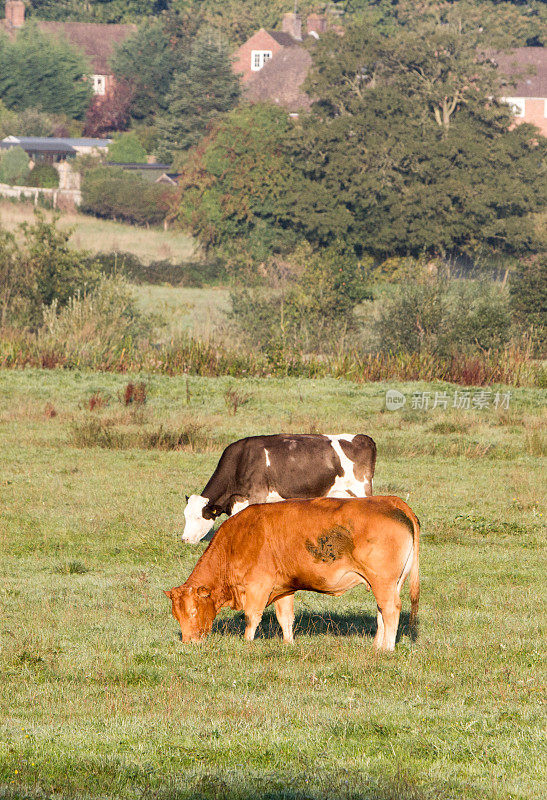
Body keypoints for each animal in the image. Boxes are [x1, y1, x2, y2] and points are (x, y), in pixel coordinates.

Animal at [165, 494, 422, 648]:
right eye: (176, 615)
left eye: (193, 611)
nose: (188, 642)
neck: (237, 539)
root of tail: (389, 501)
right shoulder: (284, 589)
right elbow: (285, 618)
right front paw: (288, 644)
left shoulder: (258, 586)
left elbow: (252, 617)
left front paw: (247, 645)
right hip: (391, 583)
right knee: (382, 611)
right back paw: (377, 645)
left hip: (383, 582)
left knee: (391, 609)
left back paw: (387, 648)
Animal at [183, 438, 376, 544]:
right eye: (185, 515)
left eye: (199, 517)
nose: (184, 539)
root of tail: (364, 438)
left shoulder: (257, 495)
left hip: (361, 490)